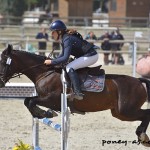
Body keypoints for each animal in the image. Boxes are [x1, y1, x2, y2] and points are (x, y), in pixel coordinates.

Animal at [0, 44, 150, 146]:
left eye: (2, 62)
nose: (0, 82)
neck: (44, 72)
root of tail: (138, 81)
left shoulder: (52, 99)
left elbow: (30, 101)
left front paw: (46, 113)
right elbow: (28, 101)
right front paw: (43, 113)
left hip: (126, 110)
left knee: (146, 113)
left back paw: (142, 136)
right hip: (119, 113)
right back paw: (142, 136)